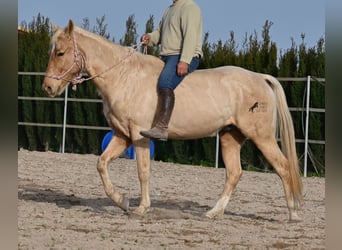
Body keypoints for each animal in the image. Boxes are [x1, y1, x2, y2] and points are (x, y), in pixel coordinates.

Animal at [42, 21, 302, 221]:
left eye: (61, 53)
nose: (48, 87)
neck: (125, 77)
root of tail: (260, 77)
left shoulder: (138, 136)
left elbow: (143, 171)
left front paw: (141, 207)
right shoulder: (122, 136)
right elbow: (102, 164)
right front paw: (122, 201)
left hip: (262, 136)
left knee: (283, 166)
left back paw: (292, 213)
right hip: (230, 136)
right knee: (234, 173)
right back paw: (214, 212)